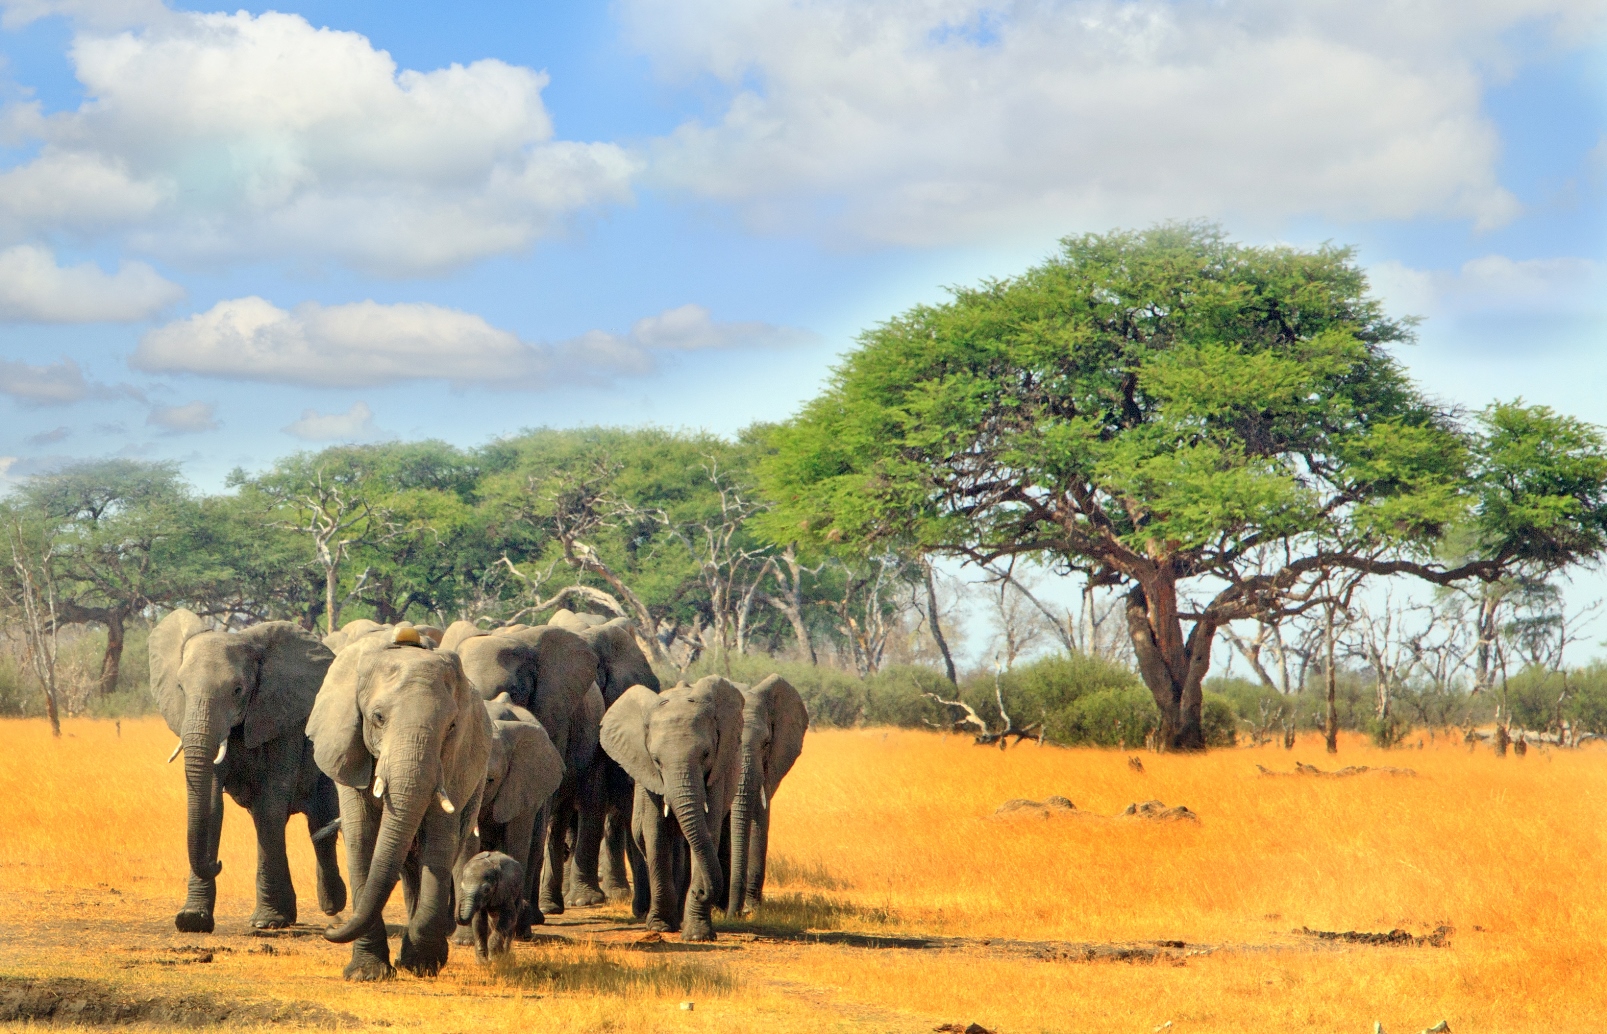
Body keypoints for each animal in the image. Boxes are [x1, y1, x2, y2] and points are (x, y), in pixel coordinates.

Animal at [151, 611, 345, 932]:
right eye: (180, 689)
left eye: (238, 690)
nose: (217, 864)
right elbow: (212, 805)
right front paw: (191, 920)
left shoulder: (284, 717)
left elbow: (270, 807)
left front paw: (266, 922)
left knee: (321, 820)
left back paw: (332, 906)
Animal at [305, 623, 491, 977]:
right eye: (378, 717)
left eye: (452, 726)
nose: (330, 928)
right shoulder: (347, 748)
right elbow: (361, 837)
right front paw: (367, 974)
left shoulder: (453, 765)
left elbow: (439, 839)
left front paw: (420, 965)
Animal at [601, 675, 742, 945]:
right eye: (656, 760)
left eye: (706, 754)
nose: (701, 892)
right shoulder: (649, 776)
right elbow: (655, 834)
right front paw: (660, 926)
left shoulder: (717, 773)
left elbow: (708, 830)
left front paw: (697, 934)